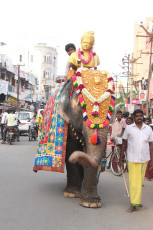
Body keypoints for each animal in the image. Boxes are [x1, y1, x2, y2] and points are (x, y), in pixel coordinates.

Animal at [33, 31, 115, 208]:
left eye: (111, 108)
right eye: (79, 105)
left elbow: (89, 152)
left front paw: (91, 203)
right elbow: (71, 149)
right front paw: (72, 194)